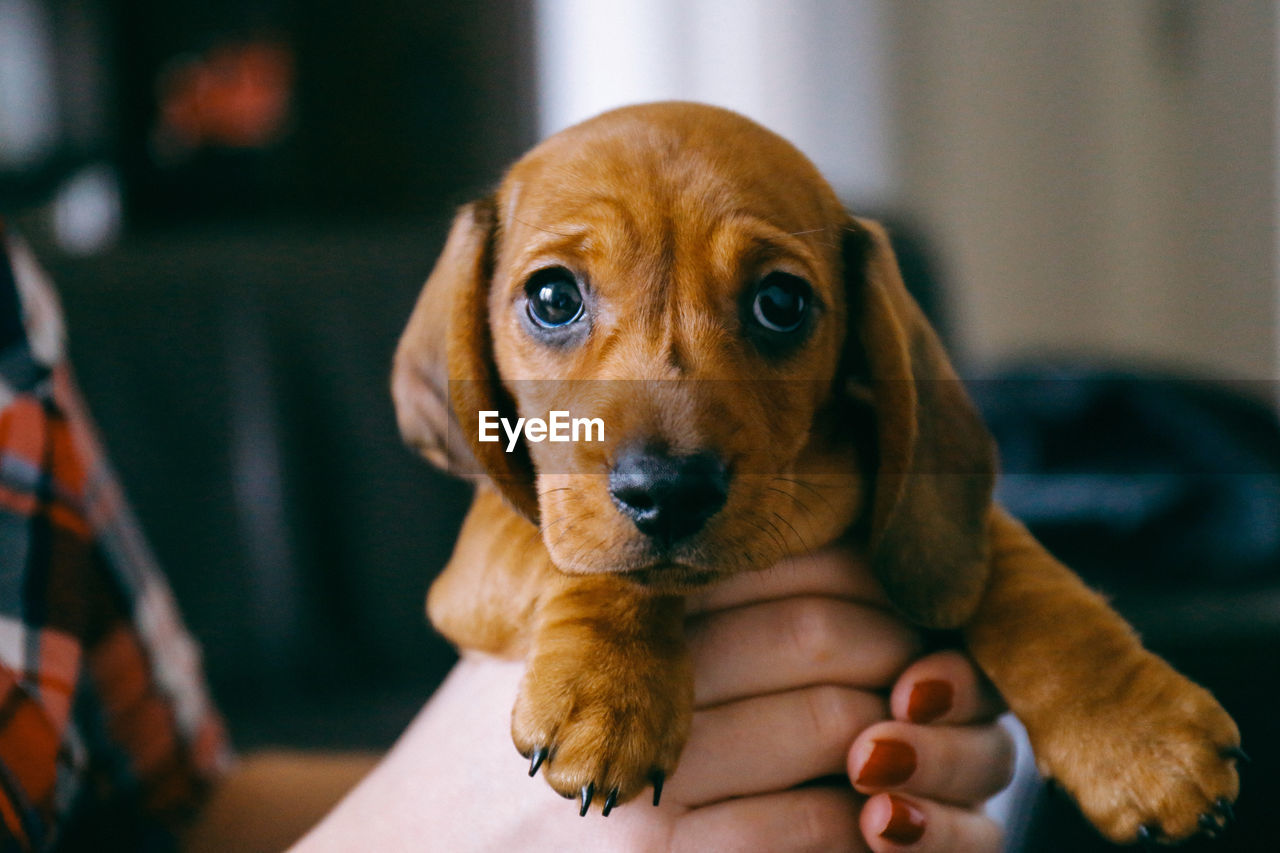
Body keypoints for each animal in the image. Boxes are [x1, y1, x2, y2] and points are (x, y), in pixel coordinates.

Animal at [391, 103, 1239, 840]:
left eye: (780, 302)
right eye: (552, 295)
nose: (668, 493)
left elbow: (1025, 580)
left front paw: (1135, 736)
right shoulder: (477, 564)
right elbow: (576, 555)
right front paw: (610, 690)